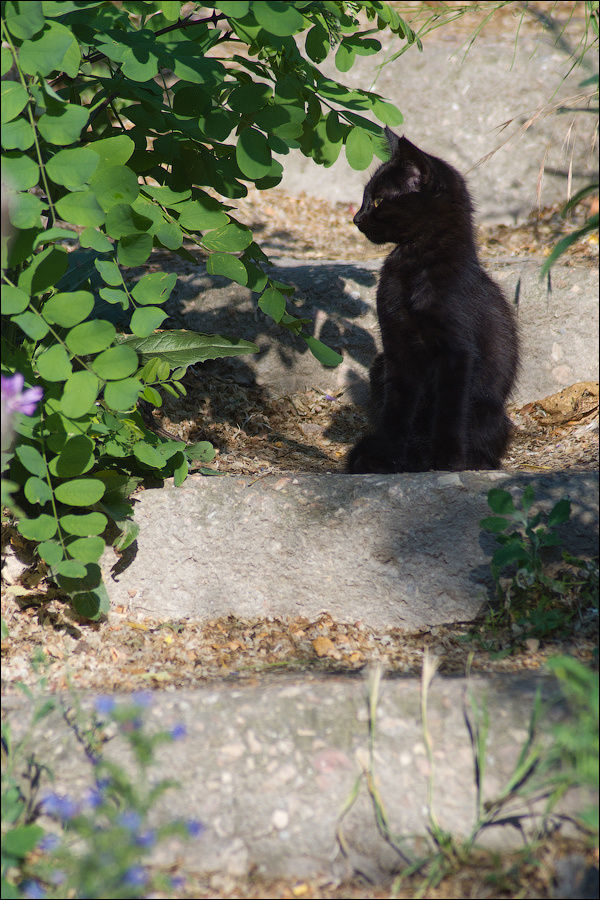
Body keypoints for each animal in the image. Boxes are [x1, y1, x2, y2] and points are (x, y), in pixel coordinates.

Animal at [350, 132, 516, 478]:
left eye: (378, 201)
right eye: (364, 199)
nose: (356, 218)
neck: (413, 265)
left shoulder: (457, 351)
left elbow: (449, 410)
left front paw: (448, 460)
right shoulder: (397, 346)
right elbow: (397, 408)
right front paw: (385, 455)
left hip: (487, 410)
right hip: (379, 364)